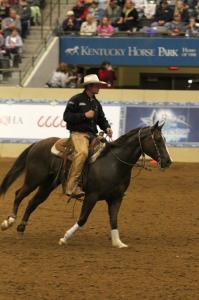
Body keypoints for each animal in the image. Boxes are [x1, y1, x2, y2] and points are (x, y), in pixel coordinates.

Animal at [0, 120, 171, 247]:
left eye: (163, 139)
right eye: (157, 139)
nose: (168, 161)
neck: (114, 163)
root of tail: (37, 144)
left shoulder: (116, 198)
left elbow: (113, 219)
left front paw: (118, 242)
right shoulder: (91, 196)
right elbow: (83, 218)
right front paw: (65, 238)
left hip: (47, 185)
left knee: (32, 202)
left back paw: (21, 228)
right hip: (34, 179)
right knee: (19, 194)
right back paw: (9, 221)